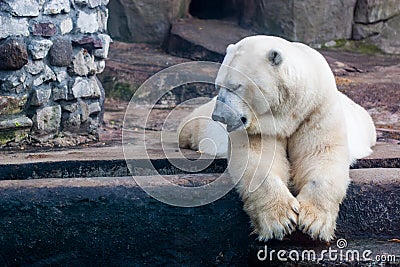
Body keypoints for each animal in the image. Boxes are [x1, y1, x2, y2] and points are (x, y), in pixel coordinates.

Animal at [180, 34, 376, 242]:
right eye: (218, 85)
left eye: (236, 86)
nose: (219, 116)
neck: (290, 110)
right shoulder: (262, 127)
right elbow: (259, 157)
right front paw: (281, 220)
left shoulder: (317, 108)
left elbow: (321, 153)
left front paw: (313, 221)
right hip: (202, 123)